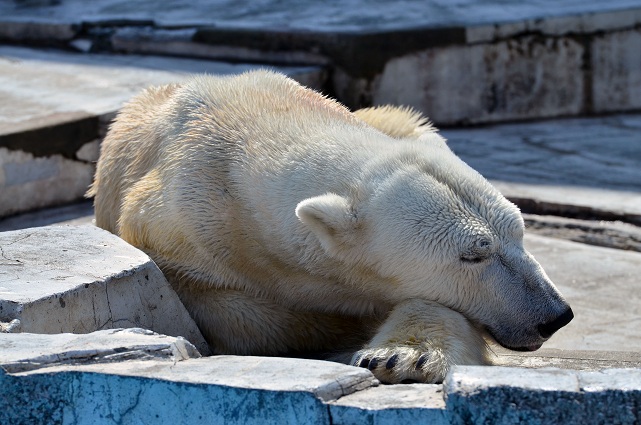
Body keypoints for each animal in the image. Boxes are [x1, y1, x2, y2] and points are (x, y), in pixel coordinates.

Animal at [87, 70, 572, 384]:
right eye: (473, 255)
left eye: (519, 233)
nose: (555, 315)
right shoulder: (179, 231)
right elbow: (247, 316)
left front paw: (400, 356)